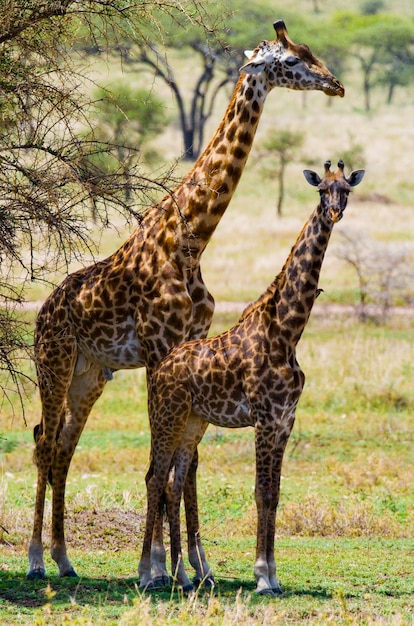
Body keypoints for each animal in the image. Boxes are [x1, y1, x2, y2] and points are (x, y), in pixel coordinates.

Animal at [26, 19, 342, 576]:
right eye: (290, 61)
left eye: (310, 53)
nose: (336, 84)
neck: (192, 237)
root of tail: (42, 314)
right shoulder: (159, 348)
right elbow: (163, 461)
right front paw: (155, 563)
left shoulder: (189, 345)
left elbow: (187, 463)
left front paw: (197, 564)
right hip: (56, 362)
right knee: (44, 443)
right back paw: (37, 558)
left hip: (91, 375)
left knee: (64, 446)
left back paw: (65, 558)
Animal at [140, 158, 366, 592]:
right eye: (321, 190)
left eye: (346, 190)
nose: (334, 212)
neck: (287, 330)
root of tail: (158, 370)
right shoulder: (263, 418)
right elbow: (260, 492)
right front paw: (262, 576)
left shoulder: (285, 420)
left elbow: (274, 494)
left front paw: (273, 574)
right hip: (167, 417)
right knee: (155, 479)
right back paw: (148, 573)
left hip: (193, 422)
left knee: (173, 483)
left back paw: (184, 577)